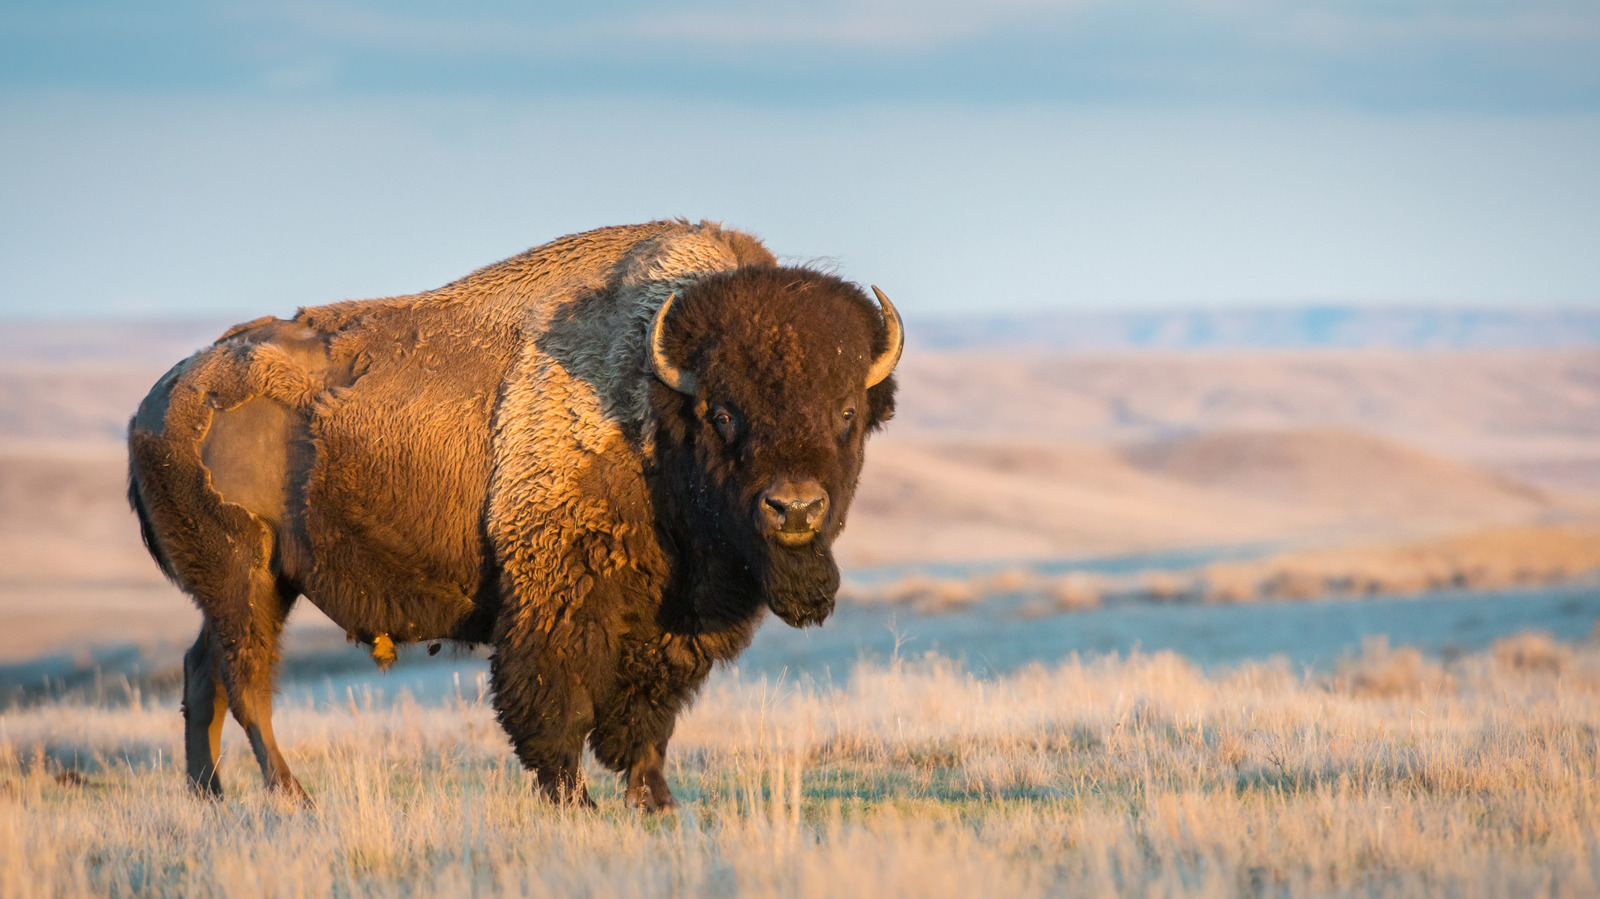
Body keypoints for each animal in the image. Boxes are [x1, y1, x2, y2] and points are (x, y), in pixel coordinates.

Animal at [126, 220, 901, 809]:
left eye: (846, 412)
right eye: (722, 413)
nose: (794, 508)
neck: (653, 402)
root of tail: (158, 401)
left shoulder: (671, 625)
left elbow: (648, 716)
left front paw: (655, 801)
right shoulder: (557, 596)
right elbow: (557, 703)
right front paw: (576, 801)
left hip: (253, 586)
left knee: (203, 672)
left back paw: (210, 796)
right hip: (245, 576)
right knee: (245, 681)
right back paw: (293, 796)